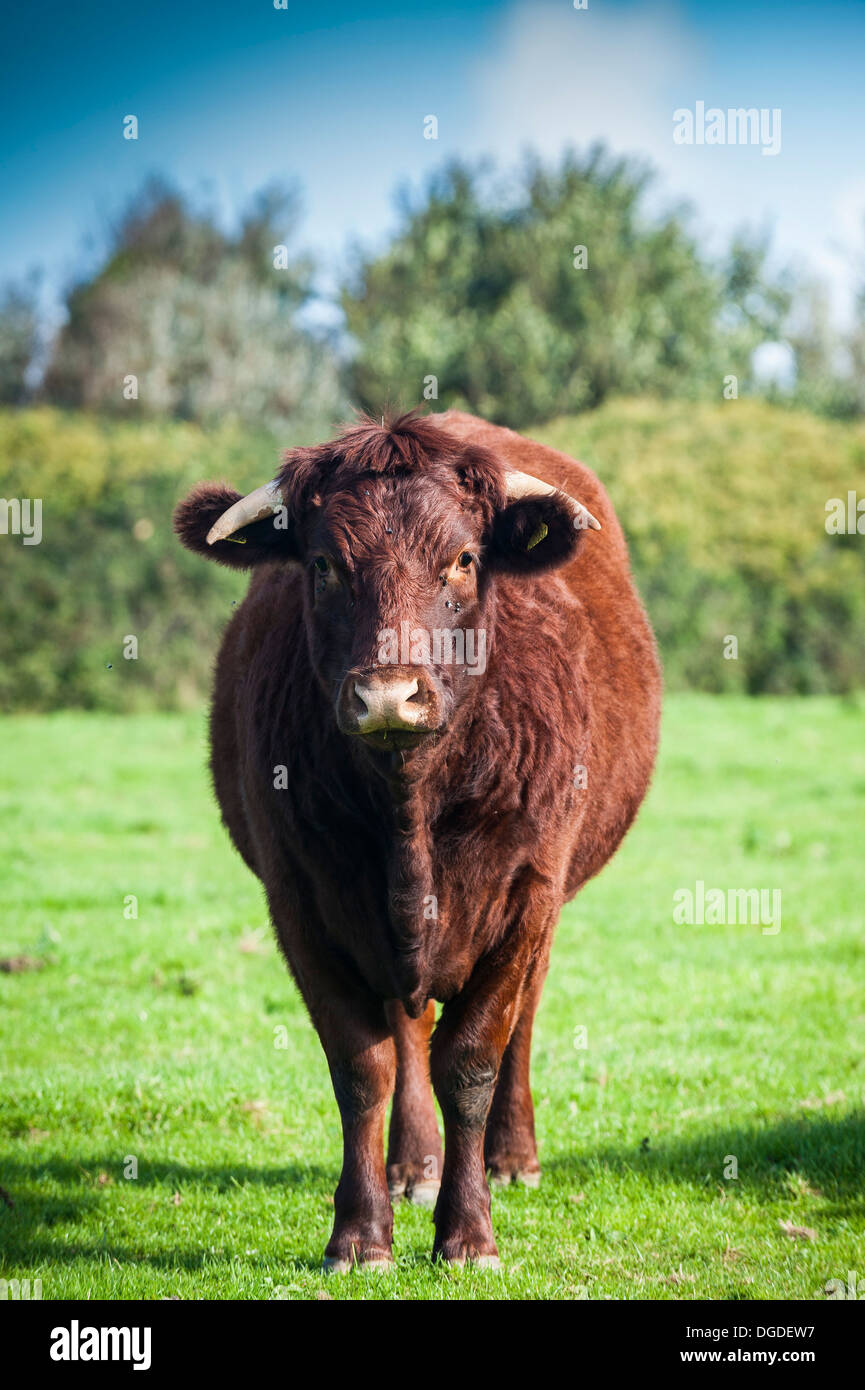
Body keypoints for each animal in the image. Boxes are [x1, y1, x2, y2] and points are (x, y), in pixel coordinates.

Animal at [176, 405, 664, 1267]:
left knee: (518, 1019)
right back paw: (412, 1166)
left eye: (463, 559)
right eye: (322, 564)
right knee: (407, 1030)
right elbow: (362, 1063)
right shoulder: (299, 901)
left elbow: (471, 1059)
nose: (387, 695)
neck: (409, 807)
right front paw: (360, 1232)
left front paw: (467, 1232)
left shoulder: (526, 893)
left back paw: (511, 1157)